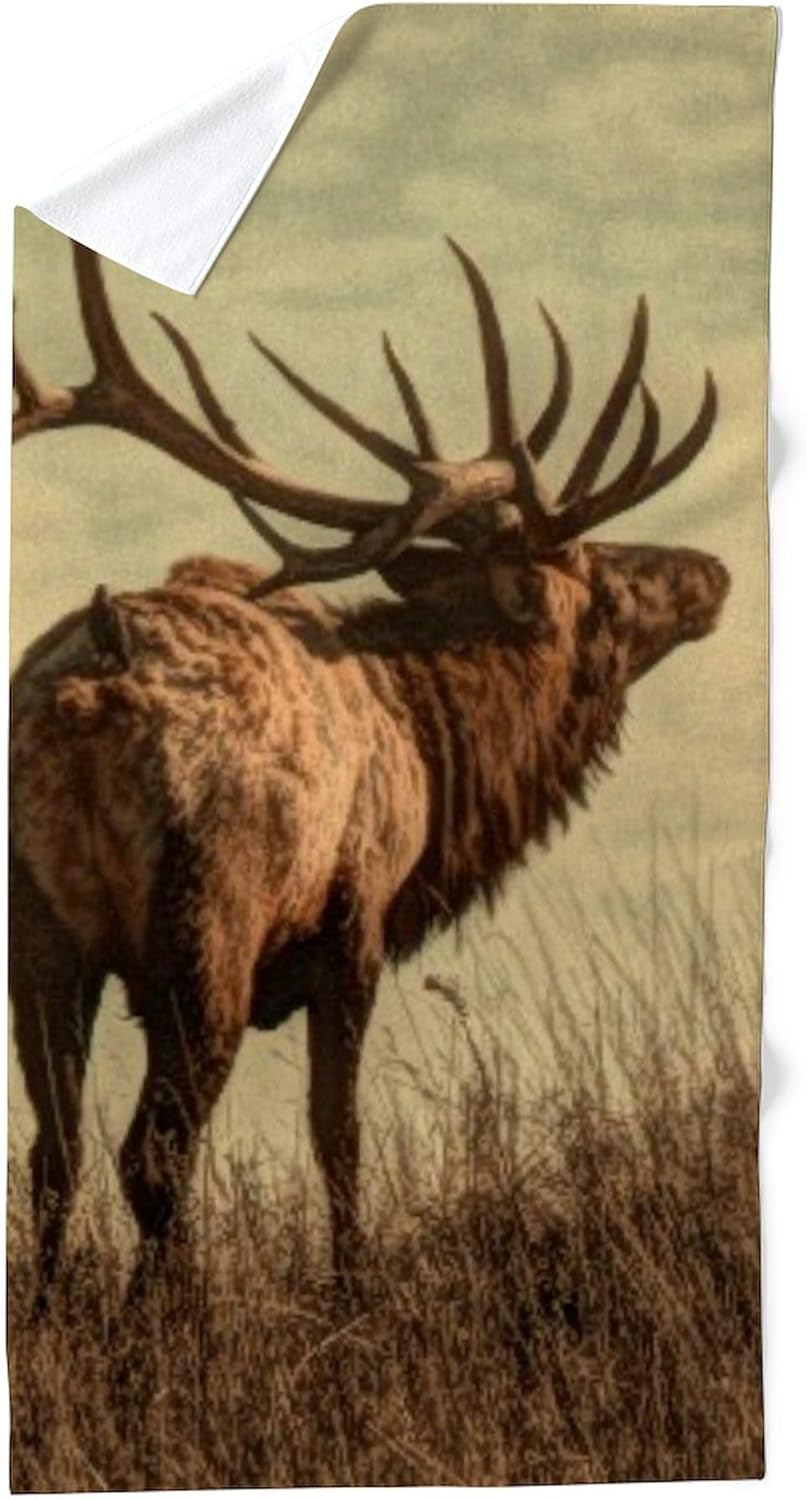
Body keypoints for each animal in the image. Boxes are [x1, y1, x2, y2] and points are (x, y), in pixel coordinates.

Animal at [10, 238, 729, 1308]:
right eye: (602, 580)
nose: (711, 574)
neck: (437, 746)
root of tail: (92, 680)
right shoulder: (355, 923)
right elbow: (336, 1135)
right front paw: (355, 1290)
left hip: (40, 934)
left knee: (53, 1157)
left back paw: (56, 1310)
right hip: (209, 914)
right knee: (153, 1151)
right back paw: (172, 1316)